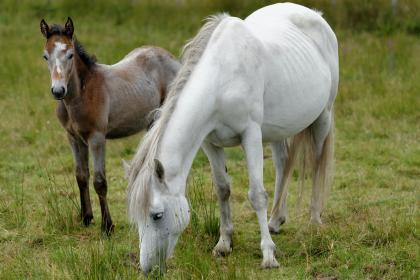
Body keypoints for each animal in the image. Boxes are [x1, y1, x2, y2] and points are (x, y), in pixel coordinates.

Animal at [40, 16, 181, 233]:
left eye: (70, 55)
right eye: (45, 56)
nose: (58, 91)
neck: (81, 93)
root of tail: (170, 56)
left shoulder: (97, 138)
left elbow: (99, 181)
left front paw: (107, 225)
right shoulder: (73, 138)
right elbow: (81, 176)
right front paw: (86, 217)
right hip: (151, 122)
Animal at [127, 2, 338, 274]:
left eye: (157, 215)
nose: (147, 268)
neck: (221, 79)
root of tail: (315, 15)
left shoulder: (251, 135)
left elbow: (257, 195)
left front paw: (268, 255)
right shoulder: (210, 143)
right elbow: (223, 189)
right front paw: (224, 244)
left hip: (323, 117)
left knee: (316, 166)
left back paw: (313, 221)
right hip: (277, 130)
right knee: (283, 164)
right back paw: (275, 220)